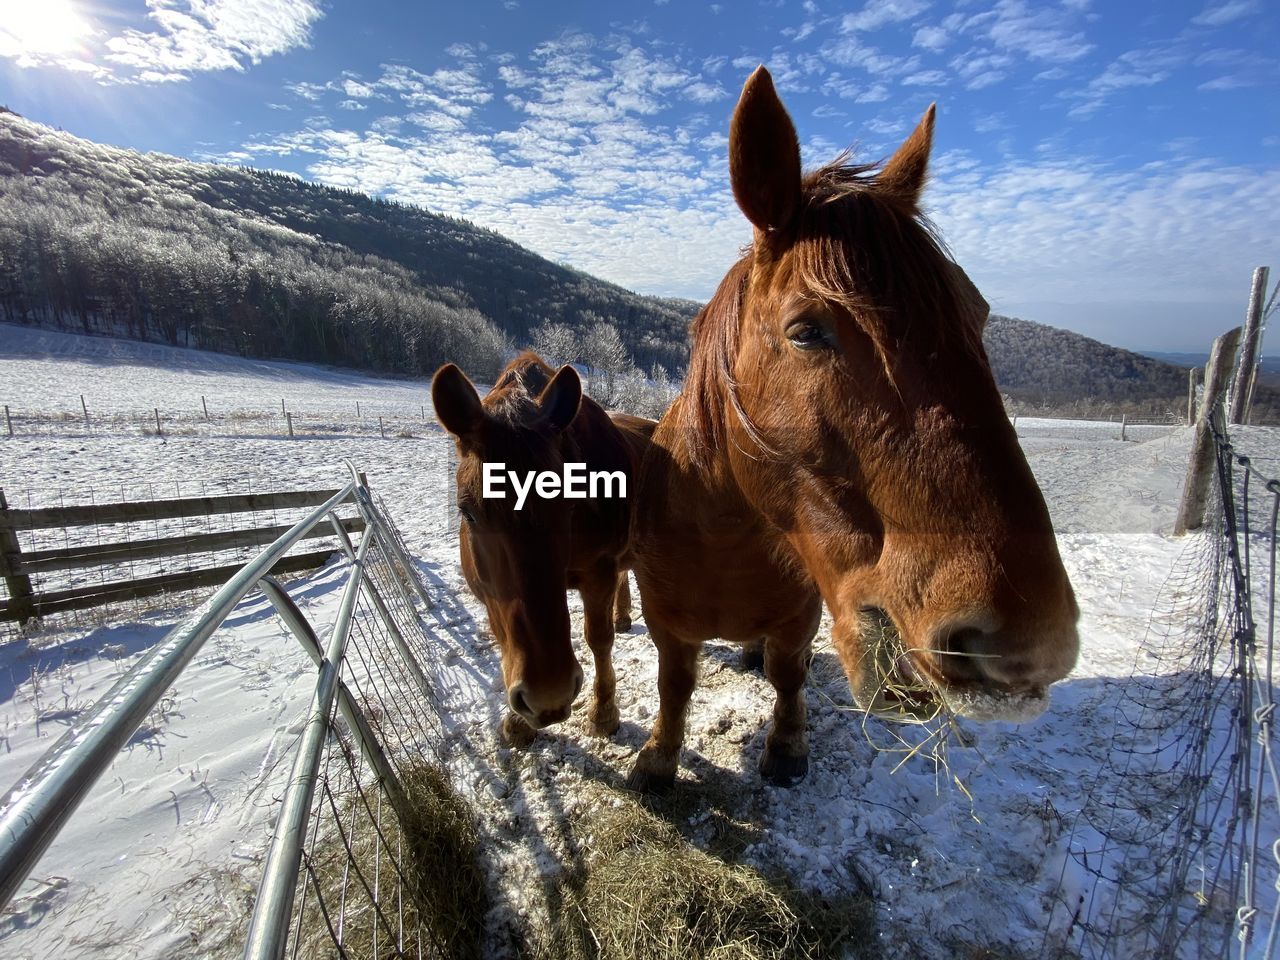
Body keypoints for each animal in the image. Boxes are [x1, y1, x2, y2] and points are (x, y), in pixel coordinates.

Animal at [432, 350, 655, 742]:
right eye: (467, 512)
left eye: (570, 503)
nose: (548, 694)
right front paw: (519, 723)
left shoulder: (599, 571)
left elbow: (598, 639)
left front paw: (603, 713)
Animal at [629, 65, 1080, 788]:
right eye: (806, 331)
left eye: (979, 313)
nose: (1031, 642)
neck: (725, 538)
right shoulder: (668, 622)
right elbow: (676, 687)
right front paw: (658, 759)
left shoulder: (799, 615)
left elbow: (786, 675)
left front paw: (786, 747)